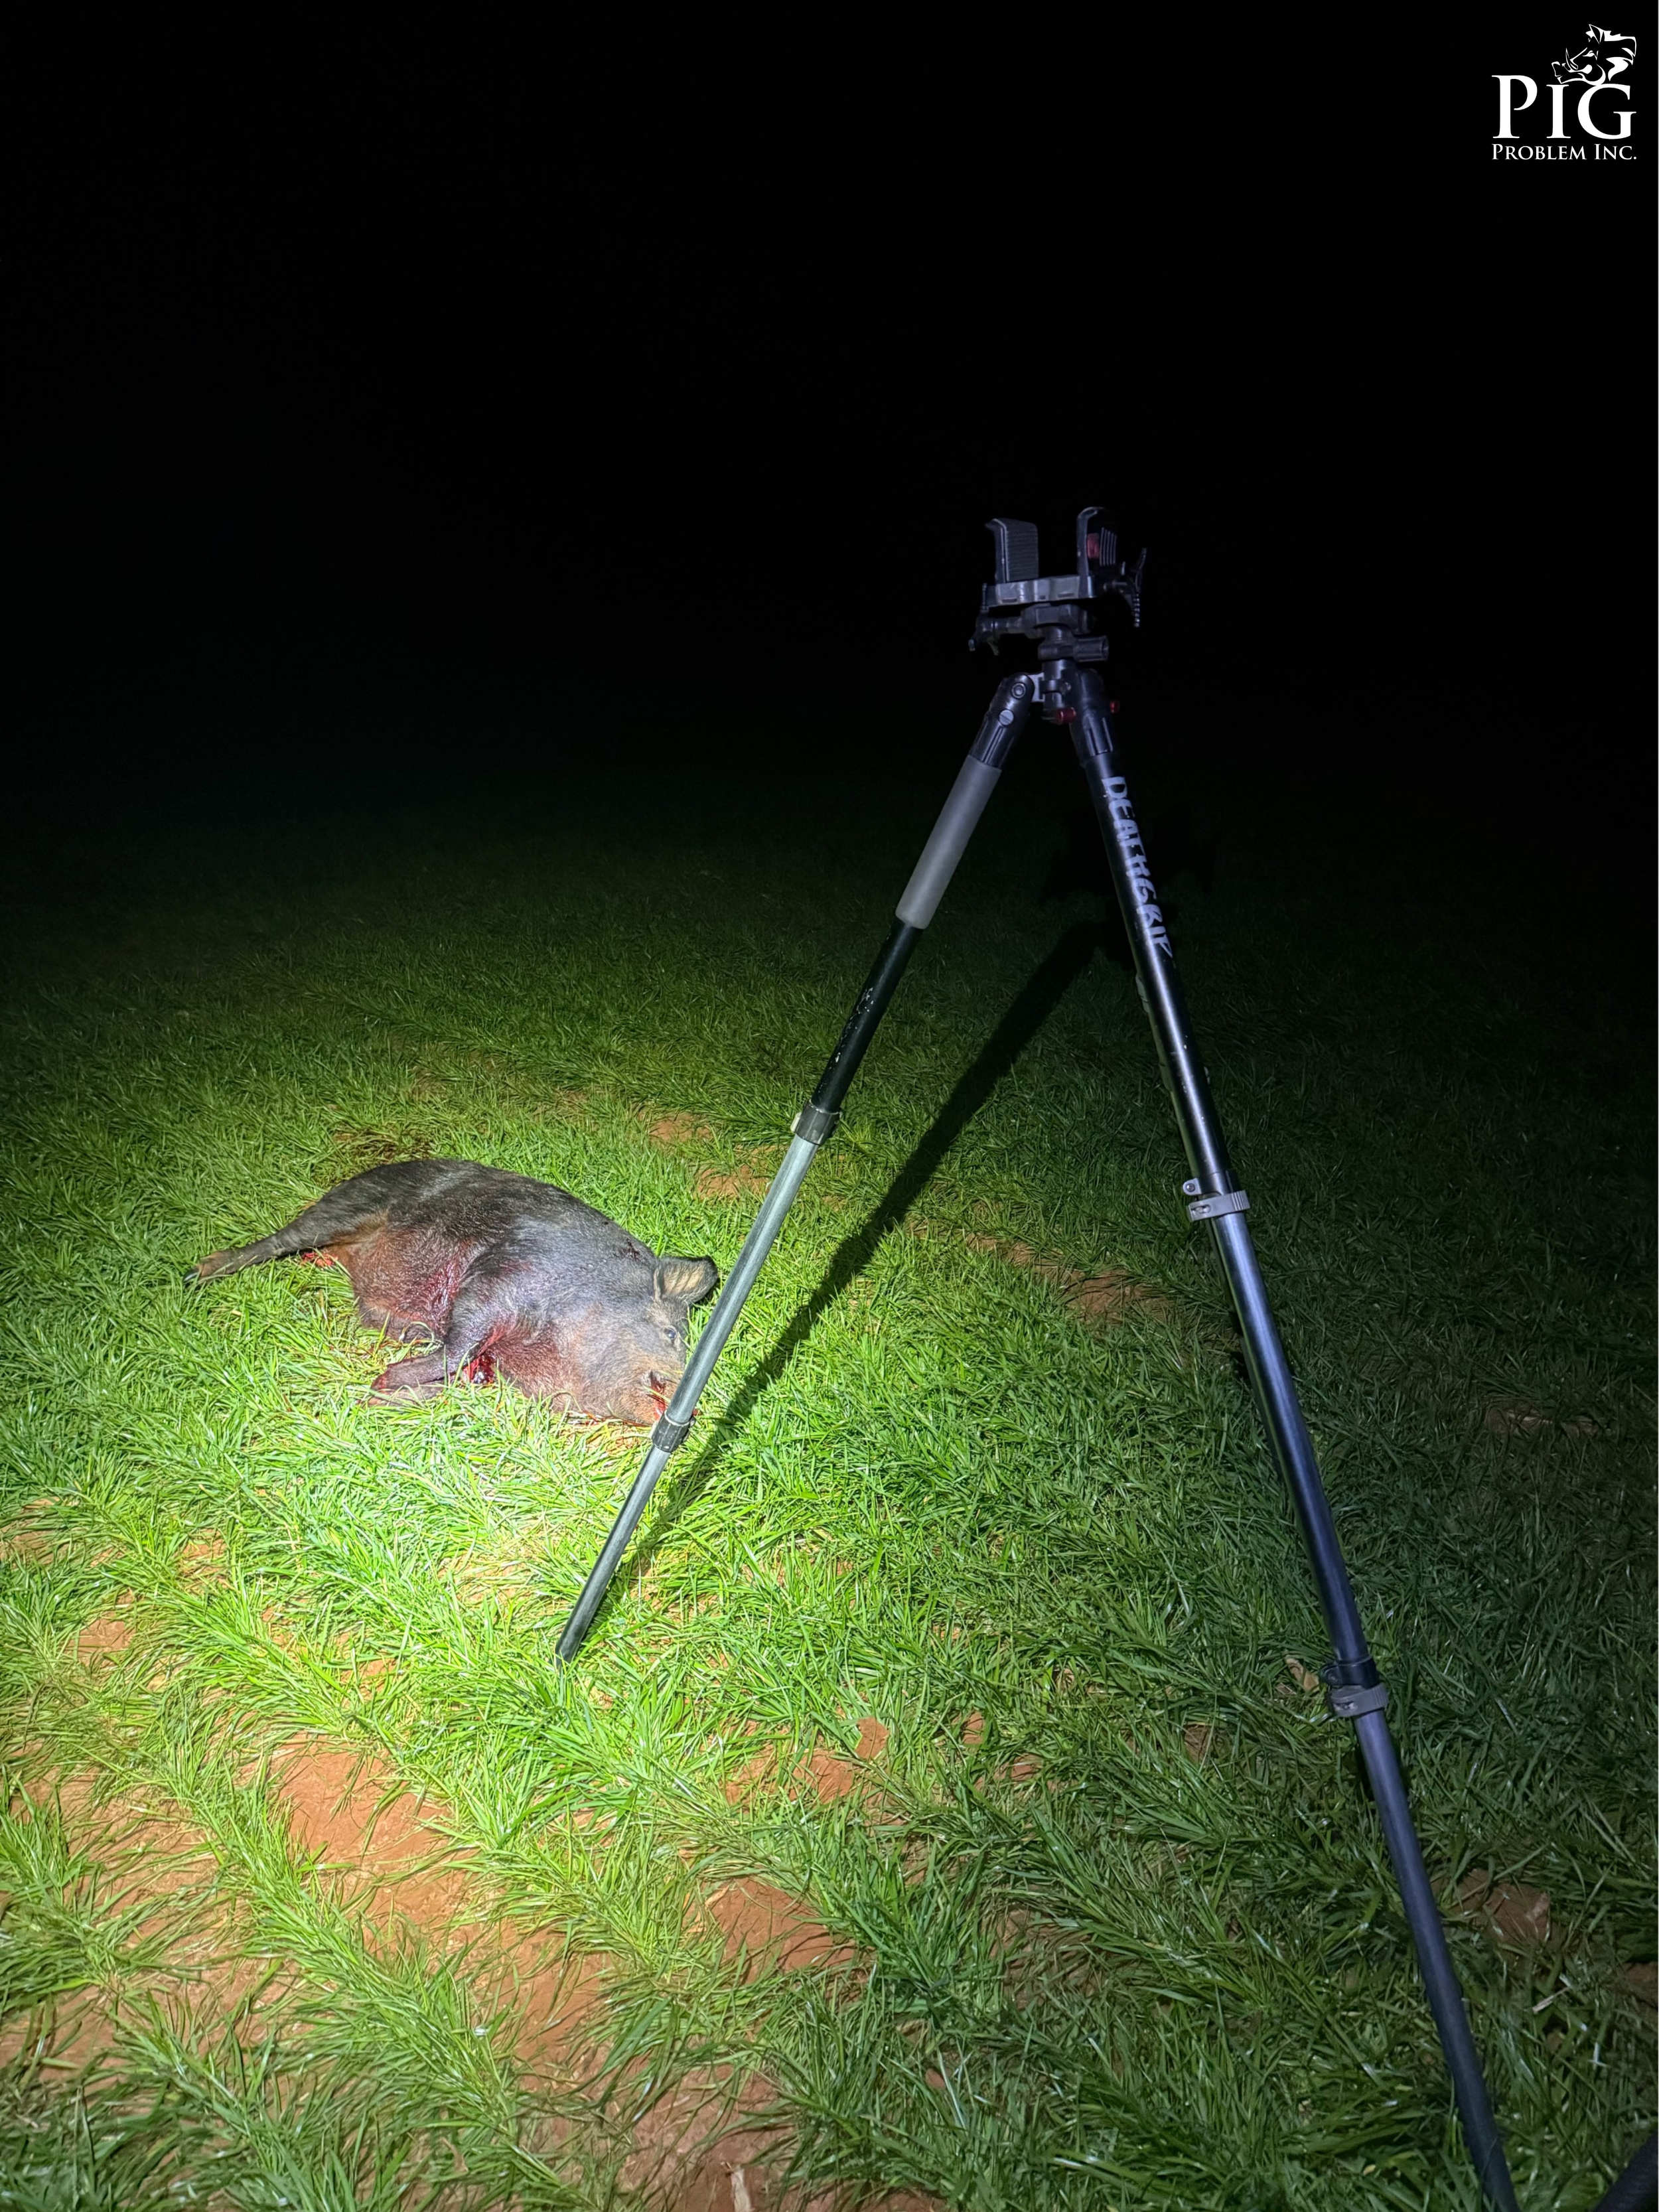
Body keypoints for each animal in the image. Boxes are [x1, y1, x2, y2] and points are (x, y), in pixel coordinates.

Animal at [190, 1159, 718, 1423]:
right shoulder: (499, 1277)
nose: (689, 1400)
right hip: (345, 1207)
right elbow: (458, 1343)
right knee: (279, 1240)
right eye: (673, 1334)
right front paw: (384, 1380)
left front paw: (378, 1399)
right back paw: (199, 1274)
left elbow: (457, 1374)